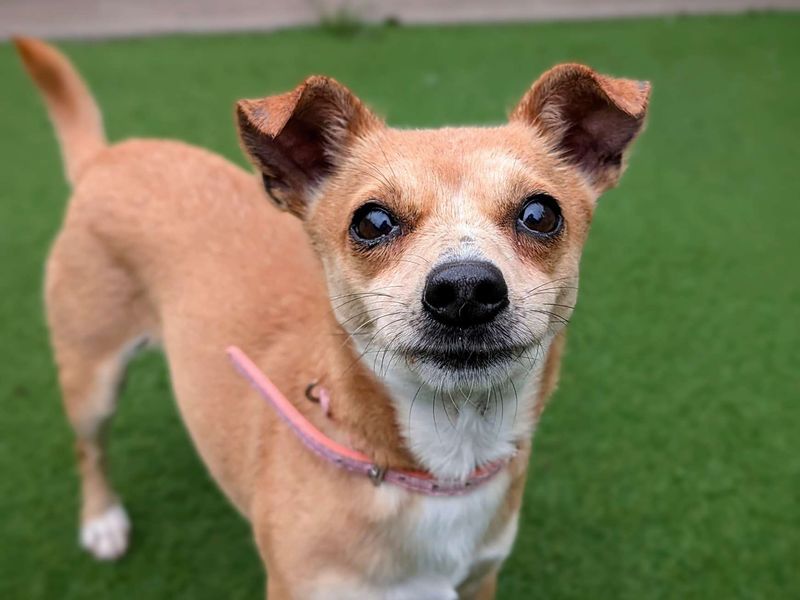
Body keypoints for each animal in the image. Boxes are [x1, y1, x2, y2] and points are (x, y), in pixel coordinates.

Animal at [15, 36, 648, 596]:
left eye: (541, 214)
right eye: (371, 221)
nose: (465, 289)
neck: (442, 464)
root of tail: (105, 157)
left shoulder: (479, 581)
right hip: (92, 377)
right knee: (89, 448)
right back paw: (102, 520)